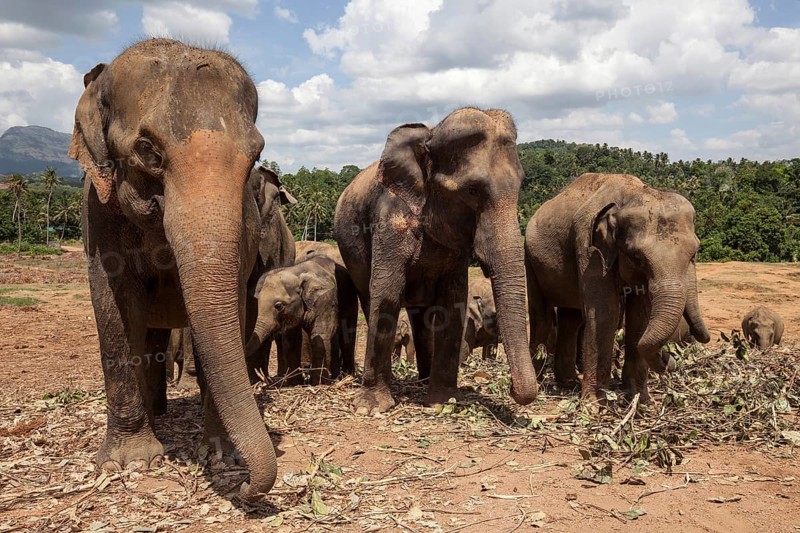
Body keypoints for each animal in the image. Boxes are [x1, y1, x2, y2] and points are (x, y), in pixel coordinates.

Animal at [68, 39, 276, 499]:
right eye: (149, 151)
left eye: (256, 155)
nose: (246, 487)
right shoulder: (96, 211)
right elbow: (112, 306)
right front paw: (130, 461)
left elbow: (231, 304)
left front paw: (221, 456)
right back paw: (156, 416)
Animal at [246, 255, 357, 384]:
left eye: (279, 306)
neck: (296, 272)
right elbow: (291, 340)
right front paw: (294, 383)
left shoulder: (325, 300)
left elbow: (320, 335)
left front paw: (319, 383)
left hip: (350, 295)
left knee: (347, 336)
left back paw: (346, 376)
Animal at [333, 107, 539, 415]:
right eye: (472, 190)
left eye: (520, 186)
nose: (513, 390)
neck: (429, 135)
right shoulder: (389, 219)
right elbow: (387, 293)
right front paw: (371, 408)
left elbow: (452, 302)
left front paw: (443, 401)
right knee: (371, 300)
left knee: (419, 316)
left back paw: (424, 378)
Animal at [525, 173, 710, 403]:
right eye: (637, 257)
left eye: (694, 254)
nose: (669, 359)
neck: (633, 194)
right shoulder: (589, 248)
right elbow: (606, 312)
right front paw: (594, 404)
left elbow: (639, 314)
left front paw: (641, 400)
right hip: (530, 258)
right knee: (542, 317)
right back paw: (540, 384)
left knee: (571, 318)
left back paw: (569, 383)